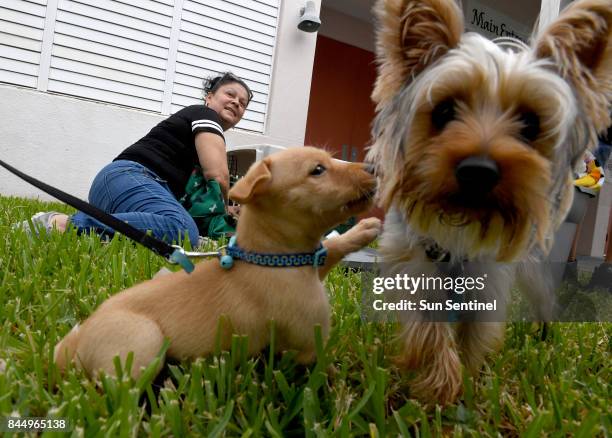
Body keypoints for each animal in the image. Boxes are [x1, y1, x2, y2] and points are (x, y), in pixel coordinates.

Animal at [56, 148, 382, 380]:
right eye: (318, 170)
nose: (374, 168)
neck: (271, 258)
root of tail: (75, 342)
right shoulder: (306, 343)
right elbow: (320, 364)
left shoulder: (312, 262)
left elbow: (328, 248)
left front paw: (364, 231)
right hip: (144, 341)